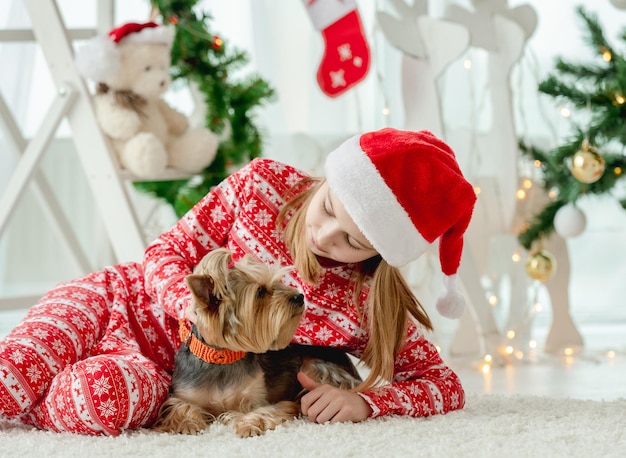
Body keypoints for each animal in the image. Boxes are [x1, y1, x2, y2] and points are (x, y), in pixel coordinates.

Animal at [154, 247, 360, 436]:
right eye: (260, 292)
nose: (299, 296)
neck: (223, 358)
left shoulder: (258, 398)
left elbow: (262, 411)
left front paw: (248, 425)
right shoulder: (183, 394)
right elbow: (180, 406)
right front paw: (187, 424)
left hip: (314, 367)